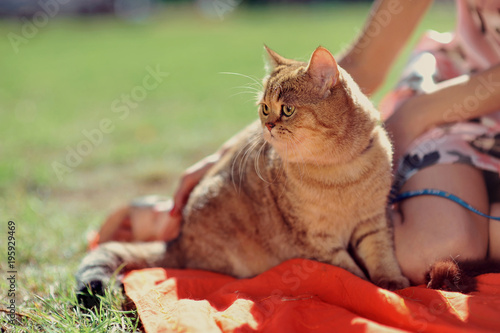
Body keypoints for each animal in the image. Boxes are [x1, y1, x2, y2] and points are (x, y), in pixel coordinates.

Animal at [75, 46, 410, 306]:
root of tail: (177, 240)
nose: (268, 126)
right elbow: (350, 273)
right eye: (265, 108)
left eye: (287, 109)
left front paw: (391, 282)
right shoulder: (318, 242)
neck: (339, 171)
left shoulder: (373, 221)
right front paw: (368, 287)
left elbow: (381, 256)